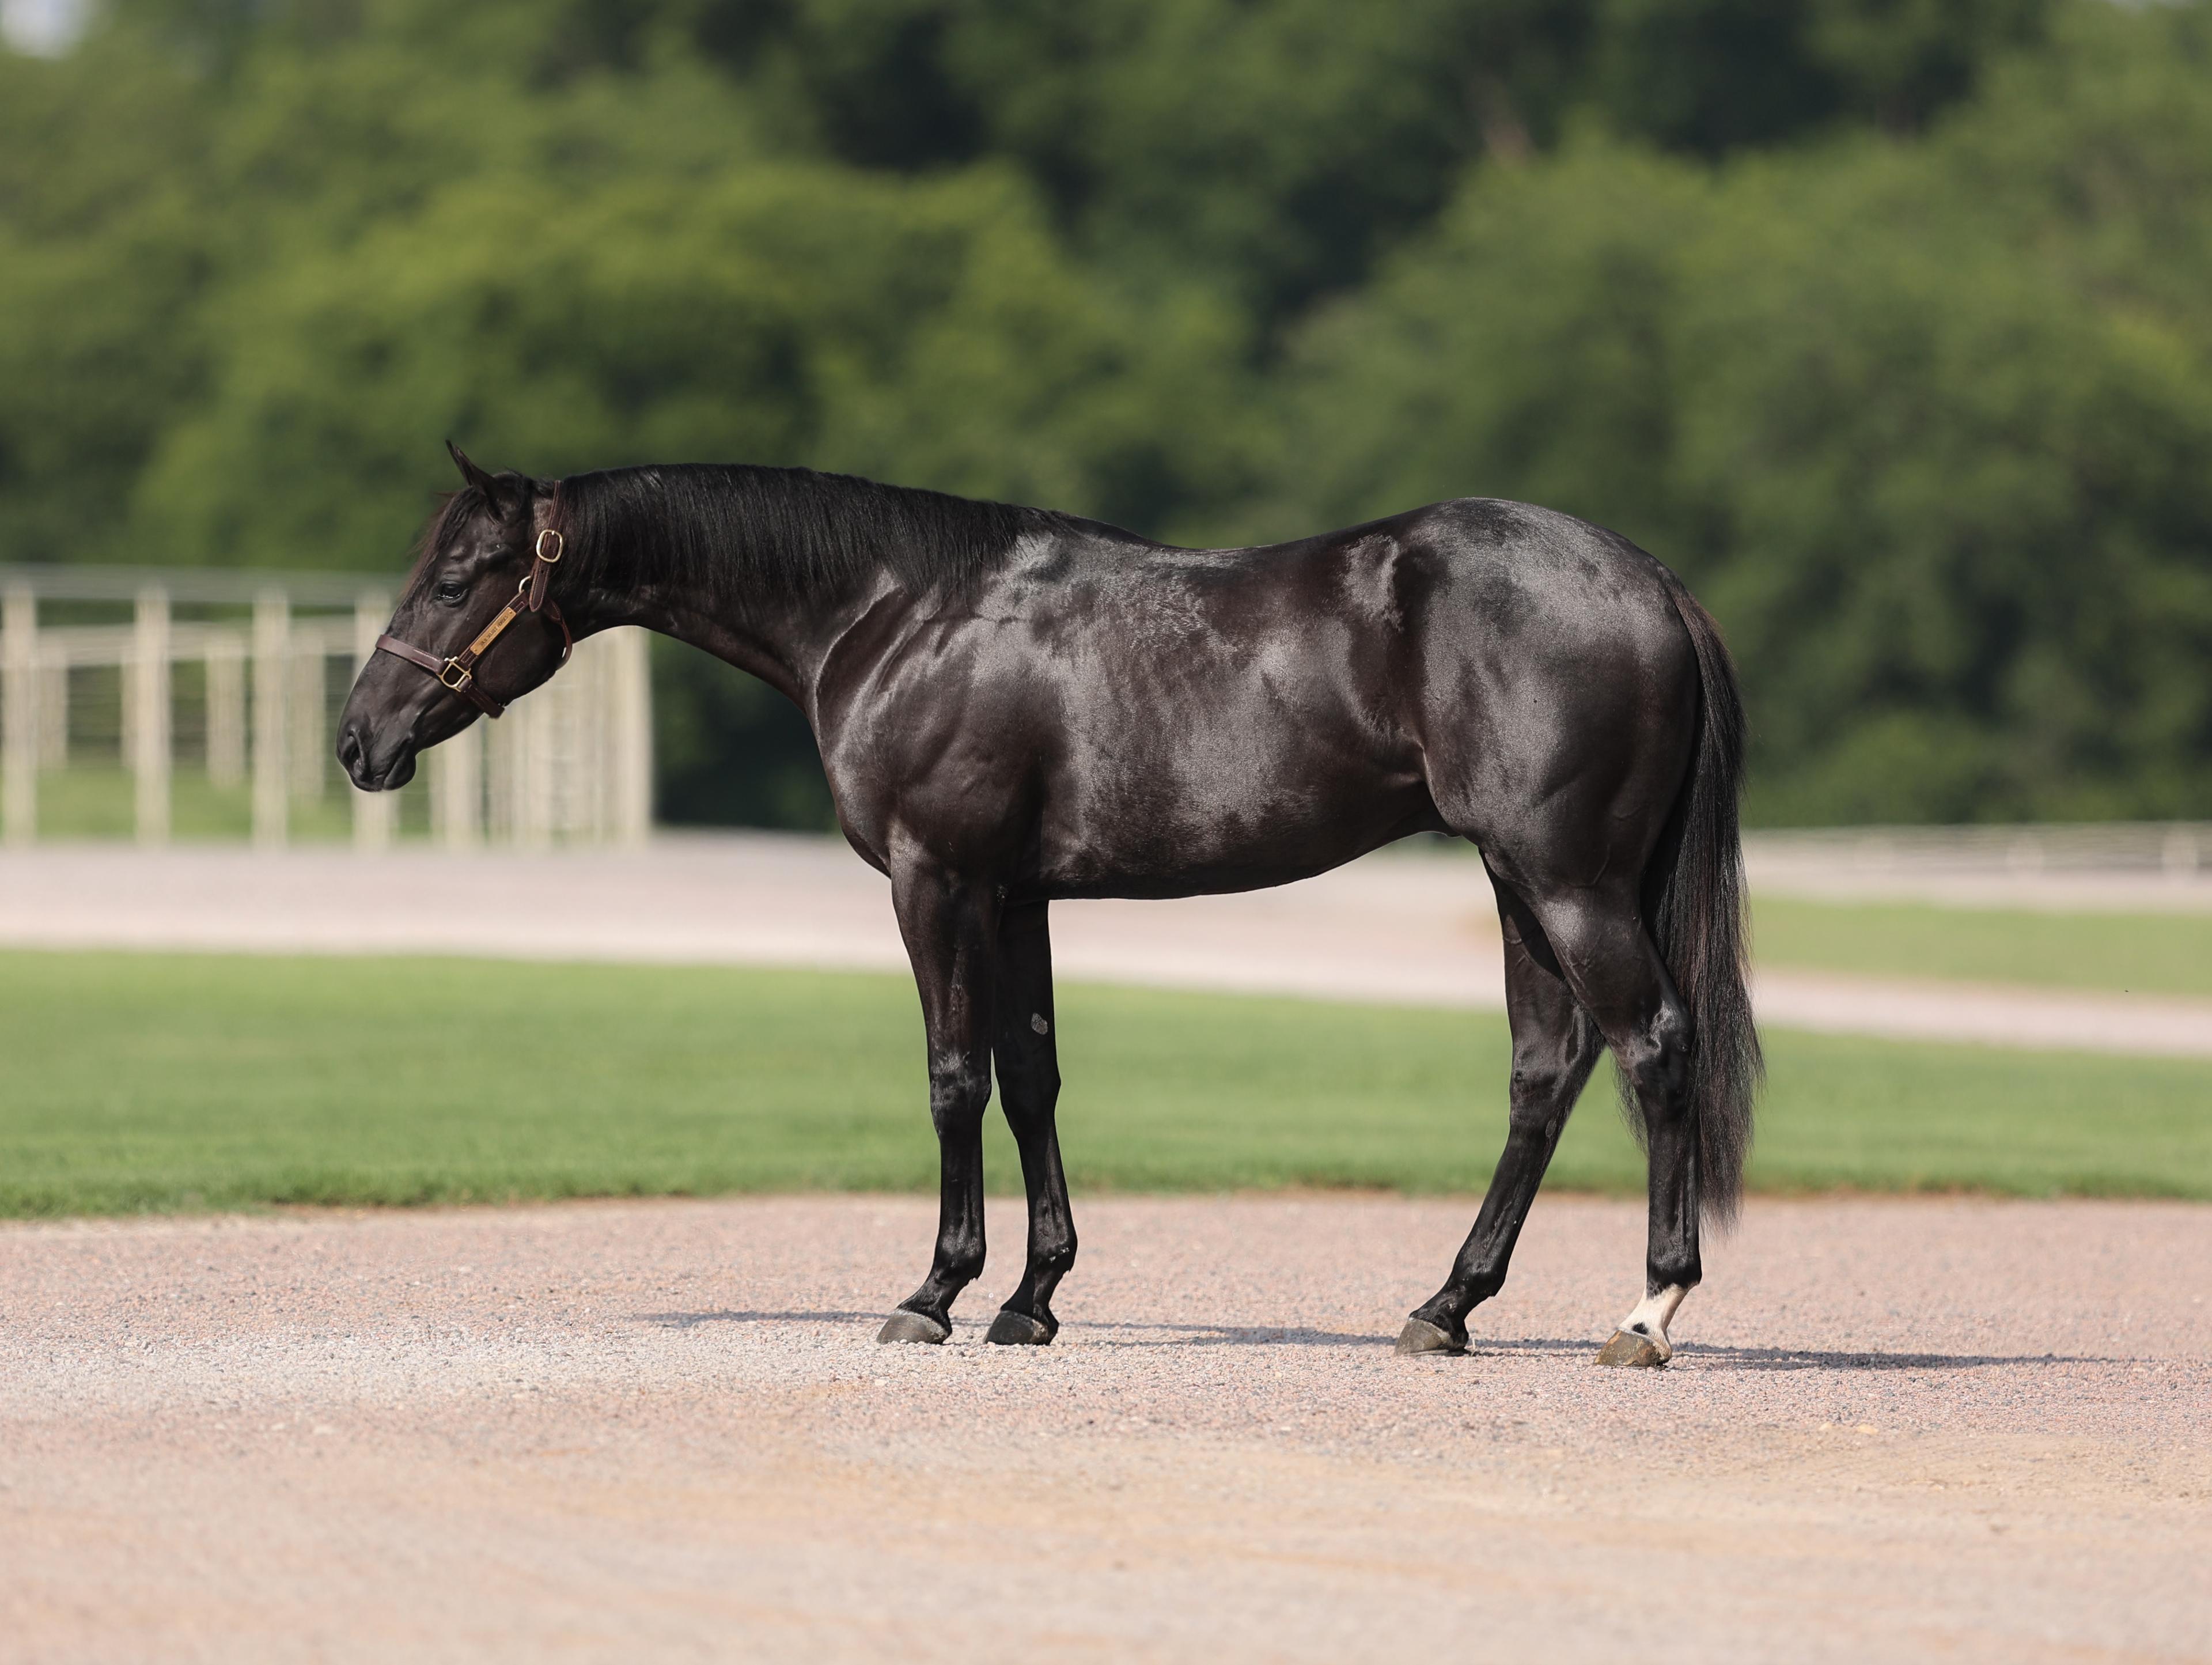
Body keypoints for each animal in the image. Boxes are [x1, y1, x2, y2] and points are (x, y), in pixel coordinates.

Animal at [338, 444, 1762, 1366]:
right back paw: (1446, 1307)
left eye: (460, 577)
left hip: (1565, 880)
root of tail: (1648, 581)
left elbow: (953, 1077)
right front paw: (1033, 1298)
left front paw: (935, 1292)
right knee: (1545, 1072)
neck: (895, 613)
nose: (359, 741)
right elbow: (1032, 1080)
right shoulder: (1018, 895)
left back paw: (1647, 1314)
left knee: (1652, 1045)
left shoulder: (938, 880)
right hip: (1520, 882)